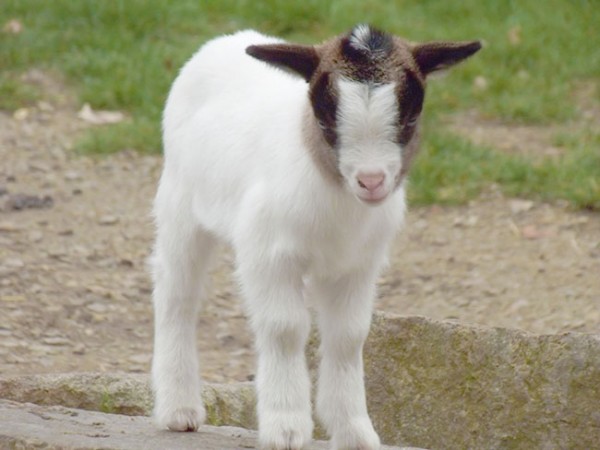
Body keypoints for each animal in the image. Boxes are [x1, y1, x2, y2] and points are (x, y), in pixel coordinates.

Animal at [152, 25, 480, 450]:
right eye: (325, 122)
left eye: (409, 118)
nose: (371, 181)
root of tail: (225, 40)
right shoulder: (268, 254)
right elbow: (284, 329)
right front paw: (286, 427)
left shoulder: (357, 266)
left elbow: (349, 336)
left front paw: (355, 432)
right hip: (180, 207)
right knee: (177, 295)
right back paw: (179, 410)